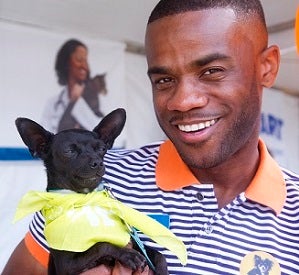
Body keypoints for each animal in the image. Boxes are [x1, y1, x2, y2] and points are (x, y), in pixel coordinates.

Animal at [15, 109, 169, 274]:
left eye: (102, 149)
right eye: (69, 151)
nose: (97, 162)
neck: (85, 198)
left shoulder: (134, 241)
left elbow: (159, 255)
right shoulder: (66, 265)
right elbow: (101, 245)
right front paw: (127, 255)